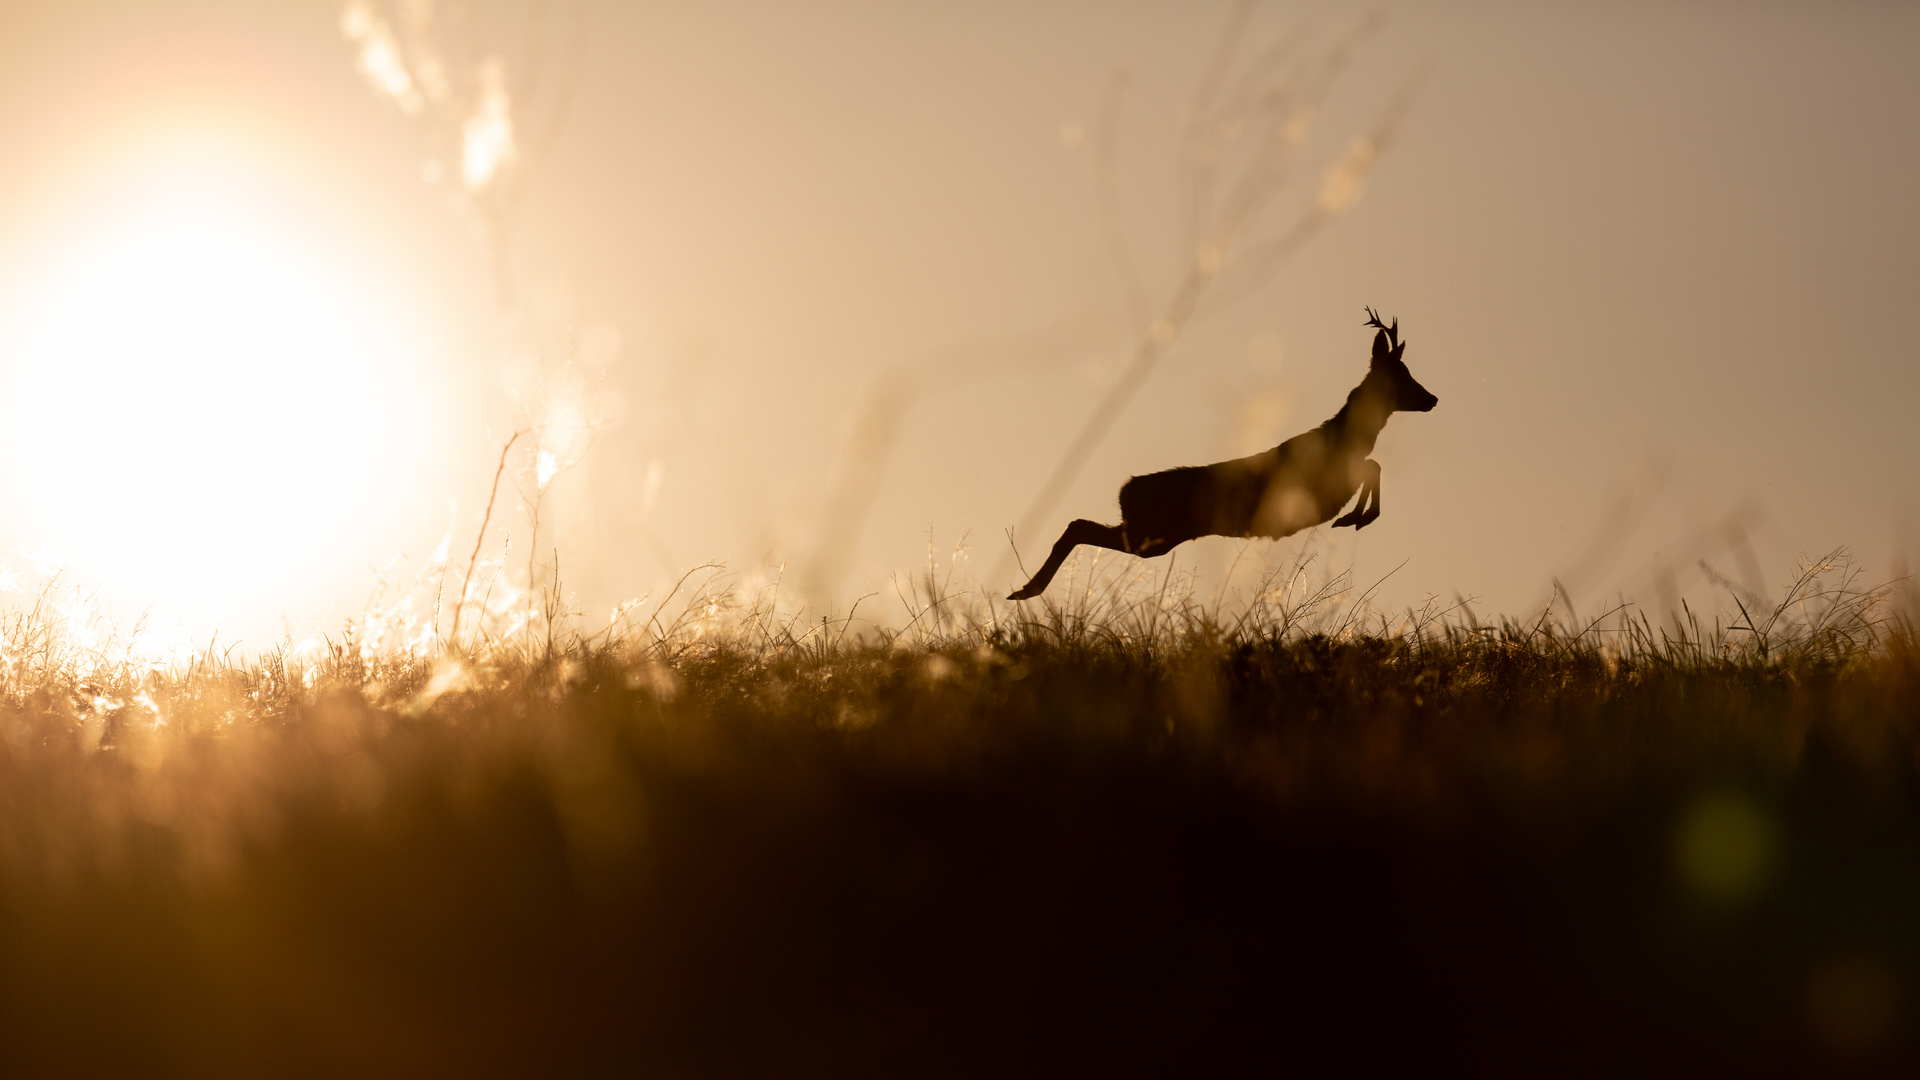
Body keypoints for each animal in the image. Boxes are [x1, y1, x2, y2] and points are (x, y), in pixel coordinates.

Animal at [1006, 307, 1443, 599]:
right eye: (1401, 376)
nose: (1433, 398)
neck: (1343, 436)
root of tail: (1125, 489)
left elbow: (1373, 465)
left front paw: (1357, 516)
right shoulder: (1321, 489)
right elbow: (1373, 466)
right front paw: (1358, 518)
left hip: (1155, 534)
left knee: (1079, 524)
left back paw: (1023, 590)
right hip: (1153, 532)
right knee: (1077, 525)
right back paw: (1026, 590)